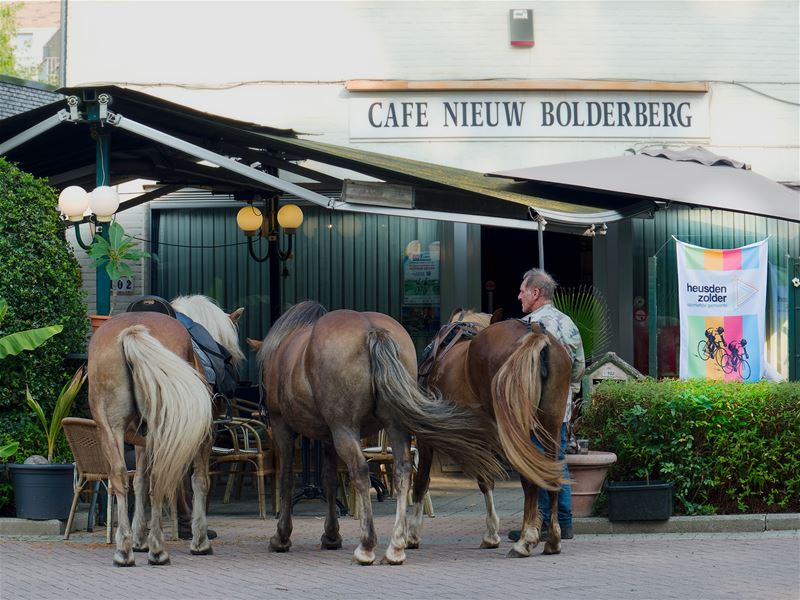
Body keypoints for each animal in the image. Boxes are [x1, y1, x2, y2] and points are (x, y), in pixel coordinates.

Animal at [87, 296, 242, 568]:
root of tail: (132, 332)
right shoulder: (204, 435)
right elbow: (199, 481)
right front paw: (200, 541)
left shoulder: (140, 440)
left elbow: (139, 481)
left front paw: (139, 539)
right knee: (161, 477)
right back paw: (158, 550)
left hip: (109, 428)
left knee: (119, 475)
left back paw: (124, 550)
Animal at [253, 302, 504, 564]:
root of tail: (372, 330)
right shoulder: (328, 436)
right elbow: (329, 479)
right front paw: (331, 535)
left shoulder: (284, 427)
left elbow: (286, 478)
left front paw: (282, 537)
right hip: (393, 426)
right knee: (403, 471)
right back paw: (396, 545)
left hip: (345, 429)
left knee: (361, 471)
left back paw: (367, 545)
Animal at [410, 310, 572, 556]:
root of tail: (534, 335)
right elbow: (486, 481)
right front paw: (491, 534)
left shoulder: (428, 435)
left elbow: (422, 482)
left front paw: (411, 535)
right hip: (551, 425)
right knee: (551, 475)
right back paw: (552, 539)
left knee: (529, 478)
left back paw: (525, 540)